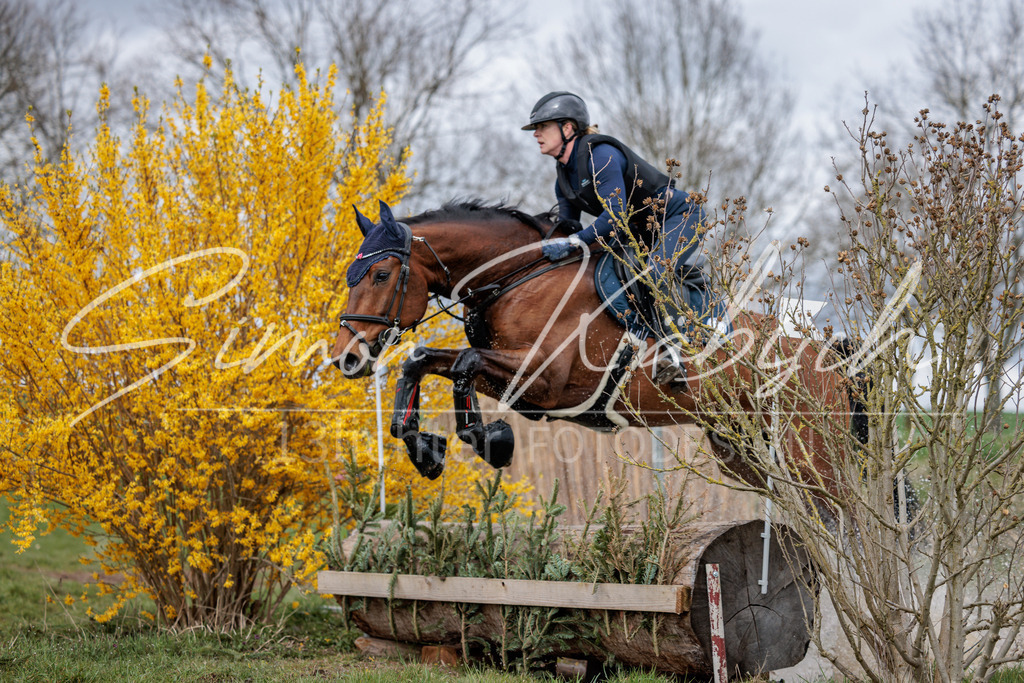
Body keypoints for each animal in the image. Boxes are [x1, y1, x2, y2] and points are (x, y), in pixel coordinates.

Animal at [331, 199, 860, 501]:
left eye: (380, 275)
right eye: (351, 277)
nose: (346, 358)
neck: (517, 276)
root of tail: (831, 357)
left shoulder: (546, 381)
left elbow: (462, 361)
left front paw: (489, 439)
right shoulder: (520, 383)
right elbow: (422, 360)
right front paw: (424, 448)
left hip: (810, 452)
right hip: (741, 448)